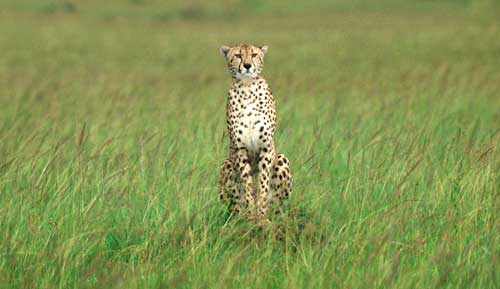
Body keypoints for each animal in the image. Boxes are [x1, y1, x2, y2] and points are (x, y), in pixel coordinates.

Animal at [219, 44, 292, 222]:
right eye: (238, 55)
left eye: (253, 54)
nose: (247, 66)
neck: (247, 88)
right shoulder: (240, 149)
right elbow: (247, 185)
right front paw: (252, 216)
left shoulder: (266, 147)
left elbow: (263, 184)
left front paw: (262, 216)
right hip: (226, 164)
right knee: (235, 207)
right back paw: (240, 218)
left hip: (282, 159)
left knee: (277, 206)